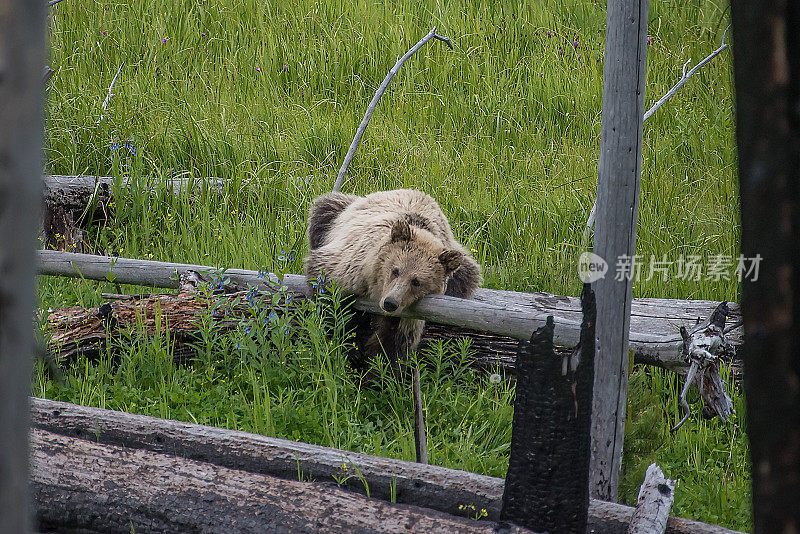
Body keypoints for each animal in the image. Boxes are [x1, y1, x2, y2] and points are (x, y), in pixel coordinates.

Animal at [304, 189, 482, 372]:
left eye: (416, 282)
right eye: (395, 271)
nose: (390, 302)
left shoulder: (409, 314)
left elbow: (393, 344)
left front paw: (379, 368)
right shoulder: (352, 265)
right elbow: (330, 299)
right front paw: (350, 348)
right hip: (335, 215)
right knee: (323, 210)